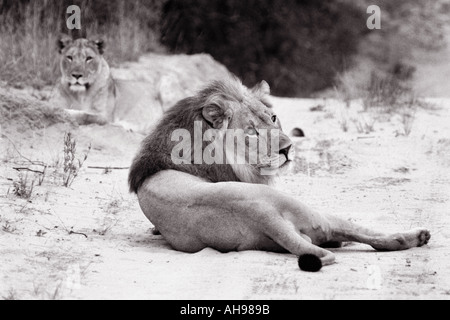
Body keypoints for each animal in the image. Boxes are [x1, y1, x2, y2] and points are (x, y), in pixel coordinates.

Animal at [128, 77, 430, 270]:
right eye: (252, 132)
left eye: (272, 118)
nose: (288, 148)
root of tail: (264, 215)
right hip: (316, 213)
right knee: (378, 238)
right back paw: (417, 236)